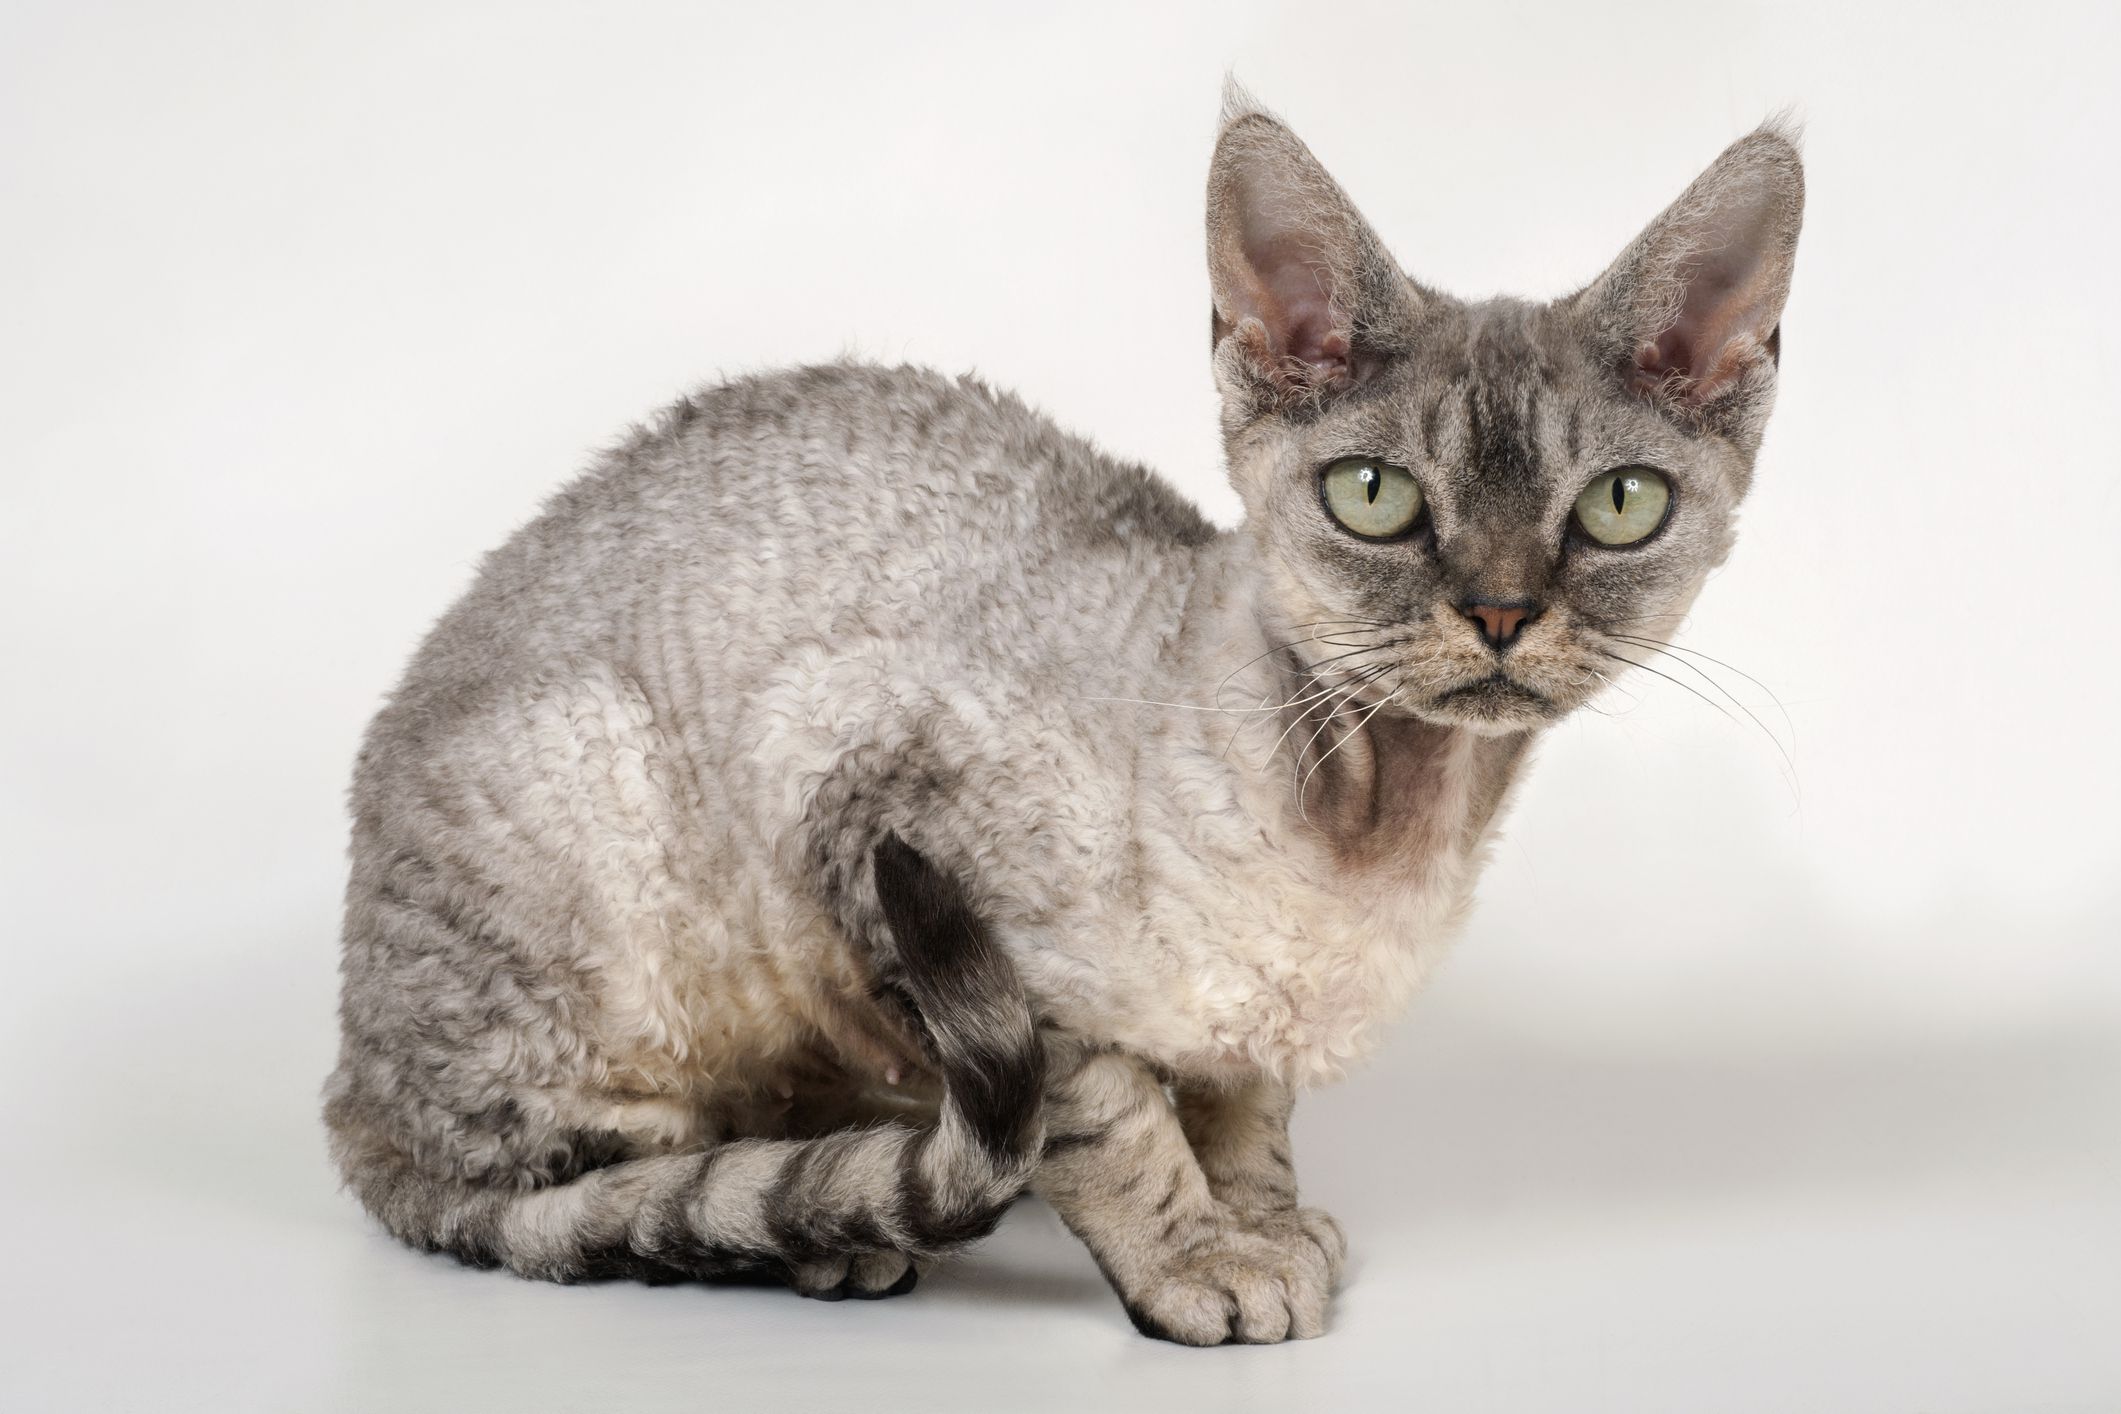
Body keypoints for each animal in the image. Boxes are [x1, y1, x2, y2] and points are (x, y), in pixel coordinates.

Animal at [326, 91, 1807, 1348]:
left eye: (1619, 505)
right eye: (1375, 495)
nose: (1500, 611)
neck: (1380, 843)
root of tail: (350, 1085)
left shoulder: (1244, 1025)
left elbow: (1242, 1107)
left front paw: (1262, 1216)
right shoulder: (871, 814)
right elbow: (1102, 1115)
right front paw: (1198, 1258)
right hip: (605, 824)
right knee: (586, 1184)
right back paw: (817, 1227)